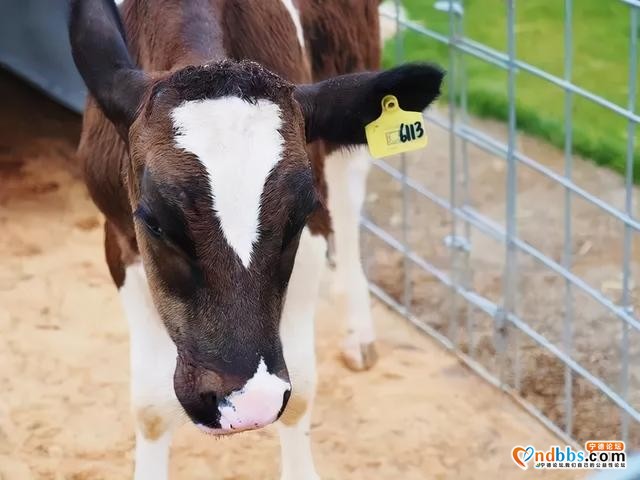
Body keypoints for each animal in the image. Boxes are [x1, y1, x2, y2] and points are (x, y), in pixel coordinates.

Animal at [67, 0, 442, 478]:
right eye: (154, 222)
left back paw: (358, 333)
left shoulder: (314, 228)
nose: (247, 405)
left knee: (349, 203)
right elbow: (150, 407)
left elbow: (300, 391)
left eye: (297, 219)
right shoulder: (118, 234)